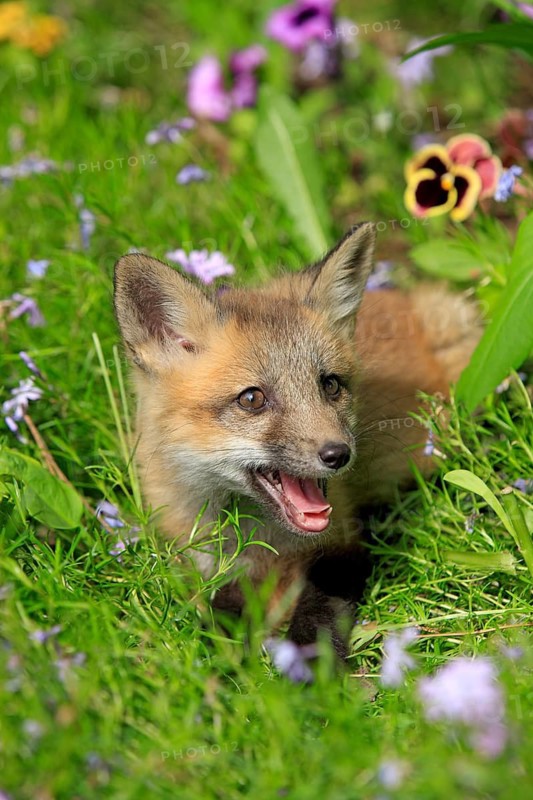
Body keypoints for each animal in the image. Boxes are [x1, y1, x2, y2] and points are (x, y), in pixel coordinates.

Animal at [113, 223, 480, 659]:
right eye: (252, 399)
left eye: (330, 385)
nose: (339, 454)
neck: (258, 542)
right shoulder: (197, 560)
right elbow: (220, 609)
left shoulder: (342, 543)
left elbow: (318, 608)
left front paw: (307, 667)